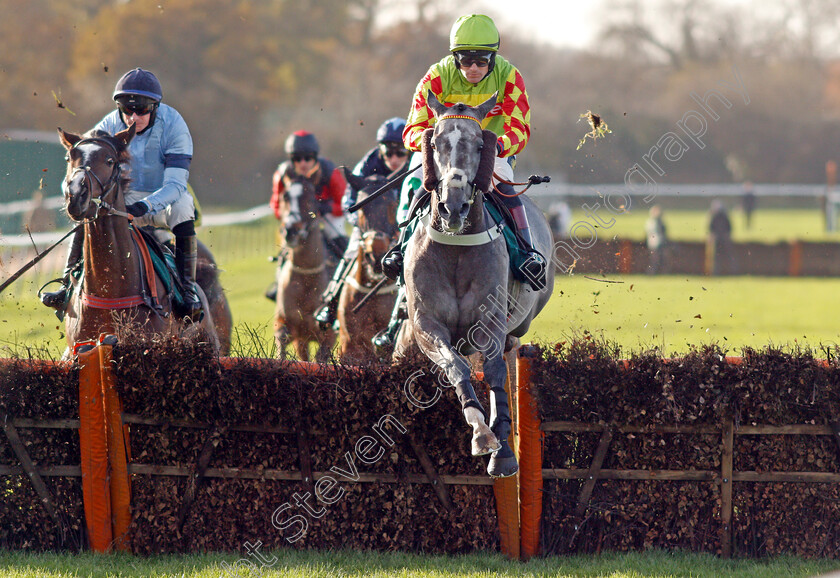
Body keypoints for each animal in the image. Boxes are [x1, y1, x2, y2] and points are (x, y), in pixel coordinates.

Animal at [270, 174, 334, 360]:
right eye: (285, 197)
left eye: (310, 197)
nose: (291, 231)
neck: (307, 276)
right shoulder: (286, 325)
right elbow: (282, 340)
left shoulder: (329, 334)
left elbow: (320, 358)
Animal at [396, 91, 556, 476]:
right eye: (435, 143)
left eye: (480, 144)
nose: (453, 207)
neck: (455, 248)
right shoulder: (425, 324)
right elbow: (456, 367)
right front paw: (482, 432)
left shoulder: (490, 320)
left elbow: (496, 370)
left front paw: (503, 450)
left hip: (521, 319)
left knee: (509, 353)